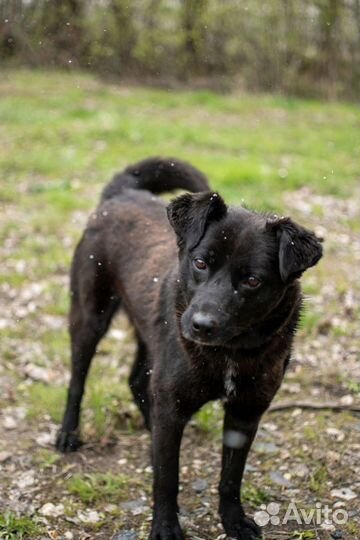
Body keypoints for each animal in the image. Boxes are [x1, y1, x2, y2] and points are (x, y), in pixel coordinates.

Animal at [57, 158, 324, 536]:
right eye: (200, 263)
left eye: (252, 280)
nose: (200, 325)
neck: (231, 352)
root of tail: (123, 193)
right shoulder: (172, 408)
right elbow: (167, 477)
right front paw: (166, 527)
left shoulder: (245, 413)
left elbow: (231, 477)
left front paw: (233, 520)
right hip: (90, 317)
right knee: (77, 381)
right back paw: (68, 434)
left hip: (150, 336)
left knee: (137, 382)